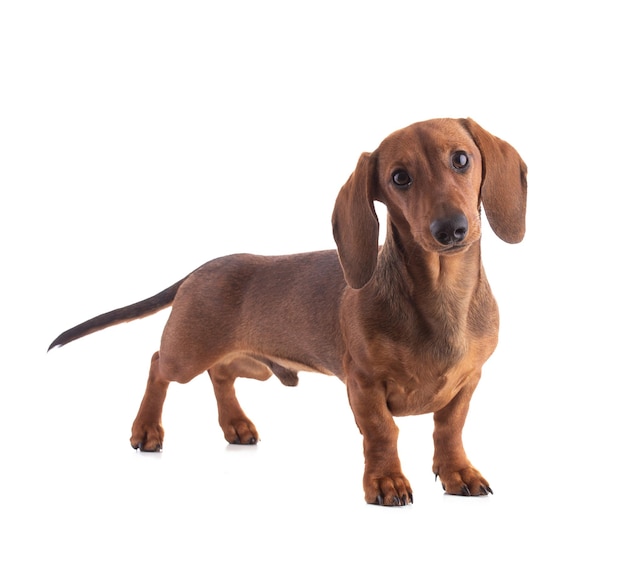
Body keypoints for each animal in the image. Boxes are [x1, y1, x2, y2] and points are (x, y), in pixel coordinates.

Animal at [51, 117, 524, 504]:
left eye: (461, 159)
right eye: (400, 177)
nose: (450, 229)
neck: (442, 295)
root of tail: (201, 269)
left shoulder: (468, 380)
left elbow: (449, 428)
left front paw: (457, 472)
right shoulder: (363, 383)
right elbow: (382, 432)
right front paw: (386, 481)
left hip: (255, 365)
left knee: (220, 374)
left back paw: (236, 424)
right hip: (186, 354)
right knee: (157, 365)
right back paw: (146, 429)